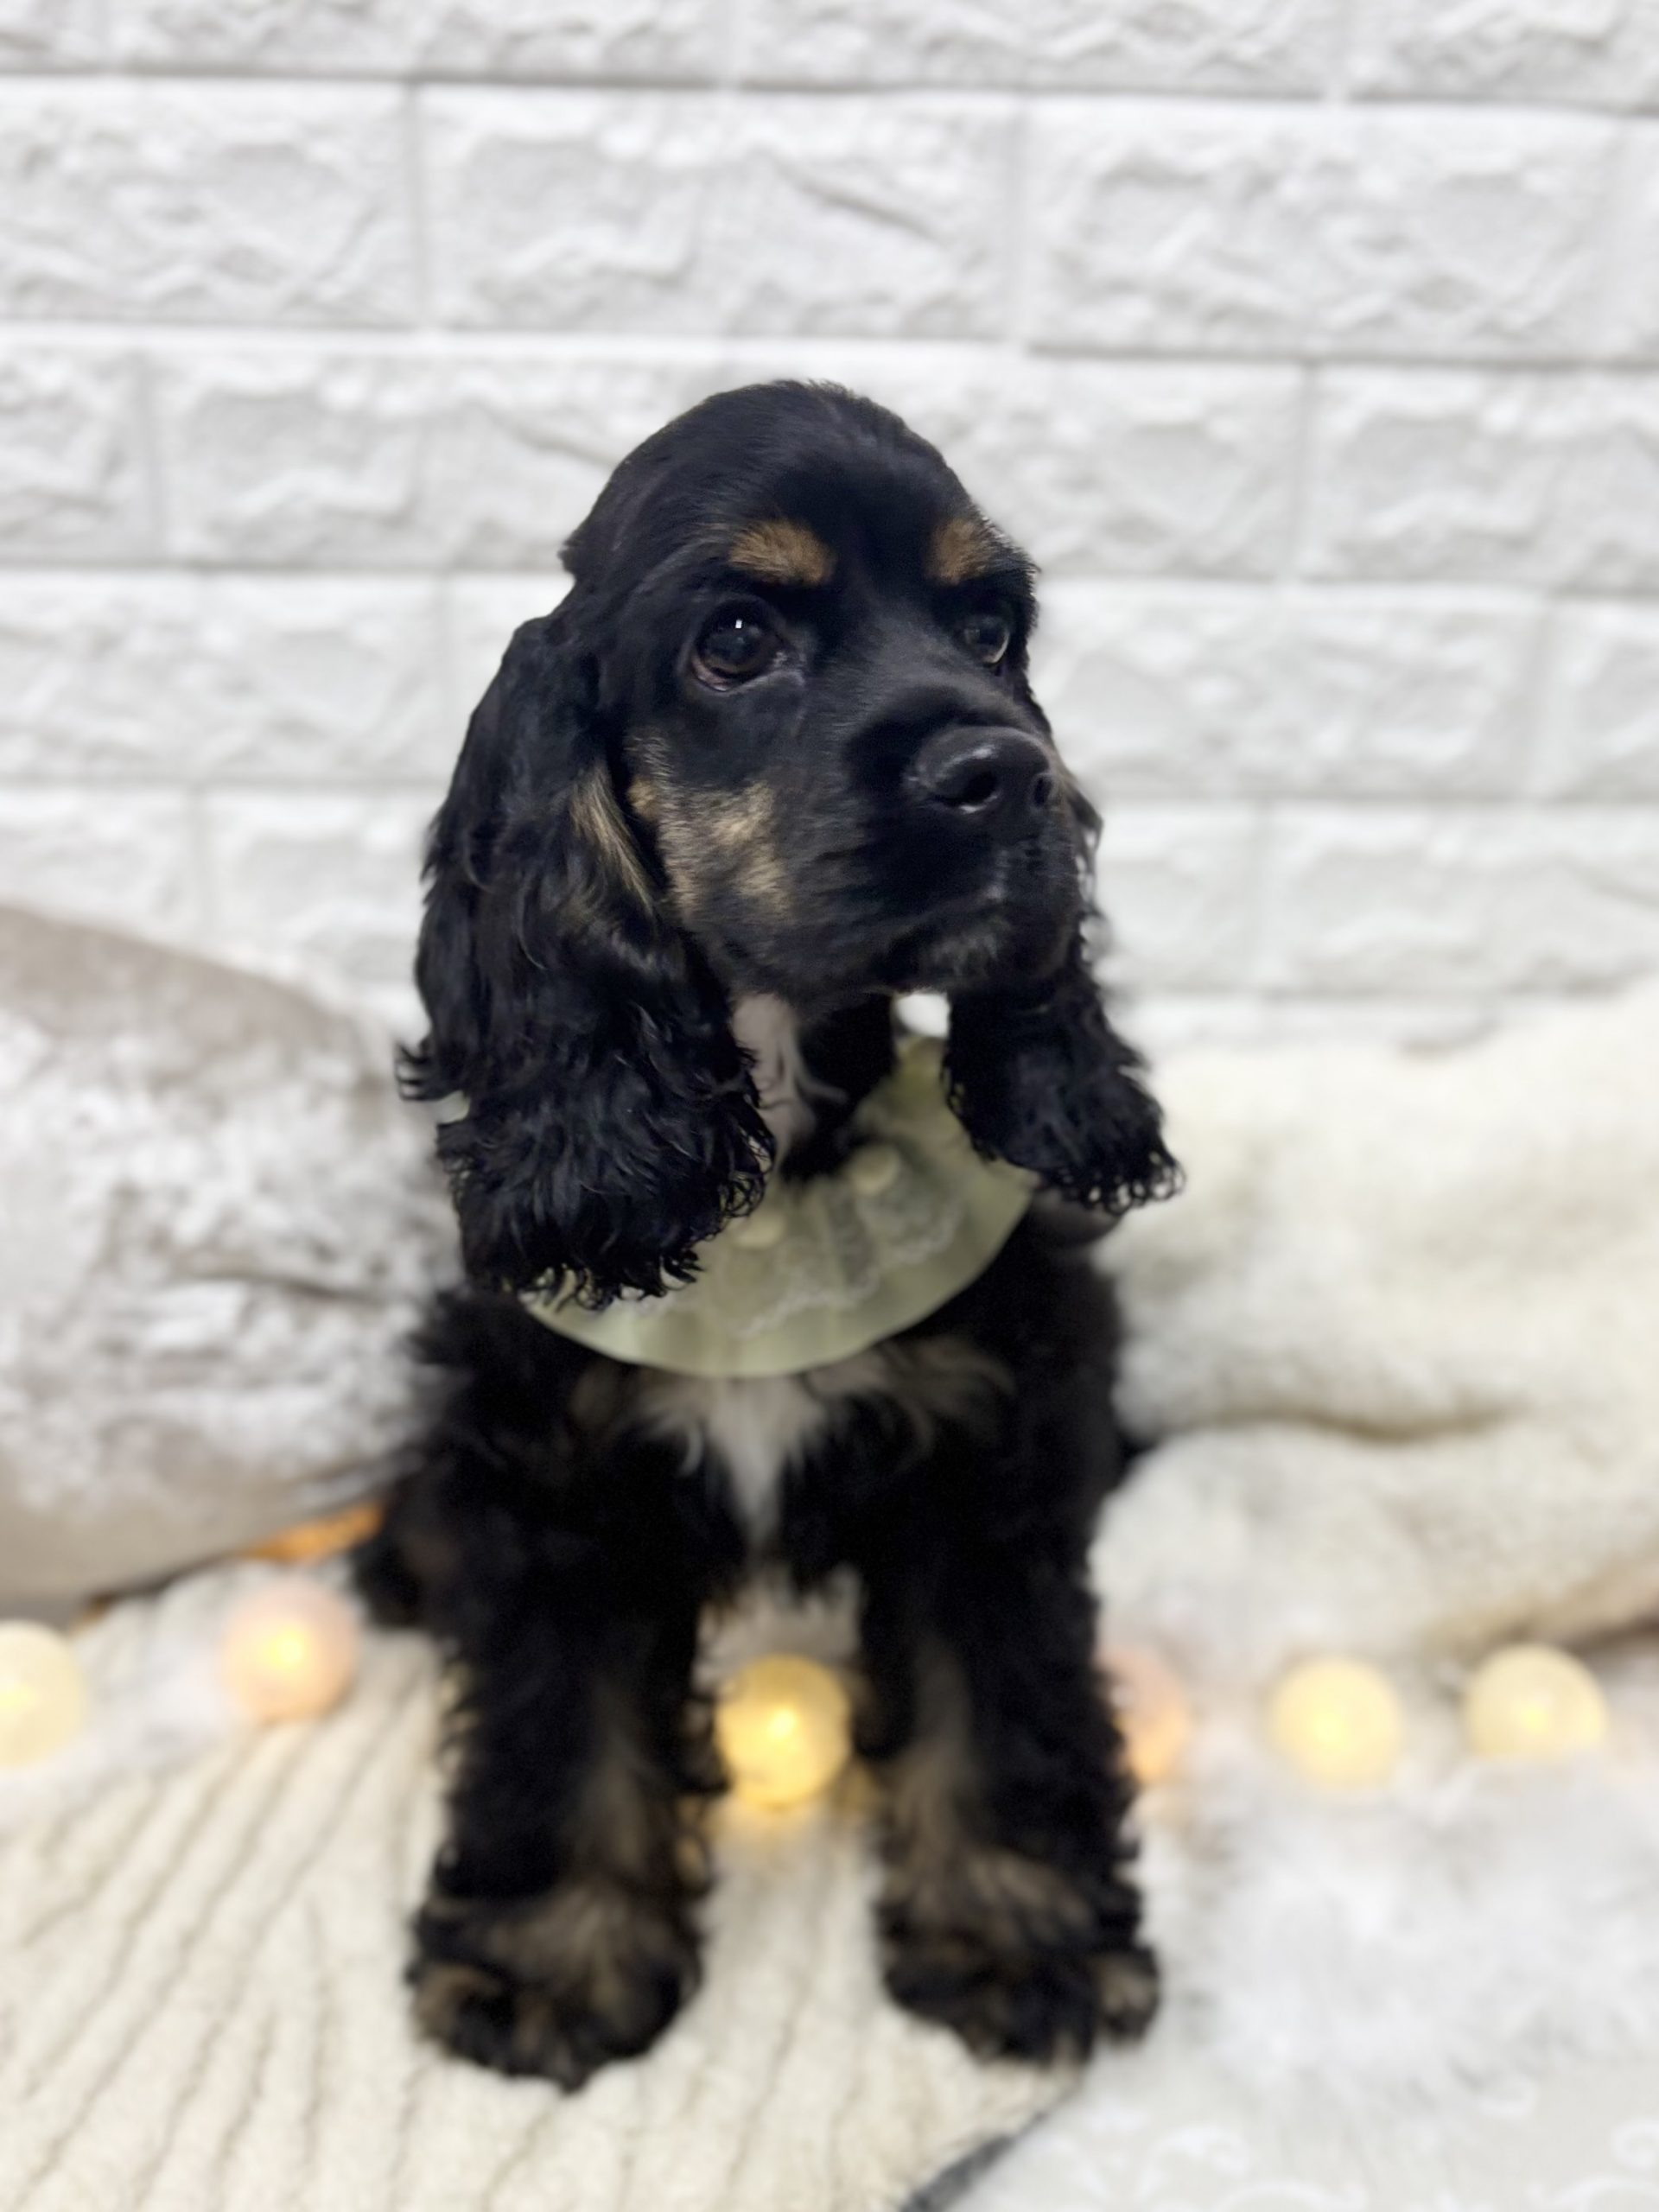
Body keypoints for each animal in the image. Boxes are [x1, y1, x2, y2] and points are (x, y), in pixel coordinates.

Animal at [356, 380, 1180, 2089]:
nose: (1010, 772)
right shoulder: (555, 1479)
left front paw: (1023, 1938)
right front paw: (546, 1966)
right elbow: (558, 1721)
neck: (782, 1162)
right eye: (736, 639)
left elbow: (1005, 1702)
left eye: (991, 629)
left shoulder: (986, 1464)